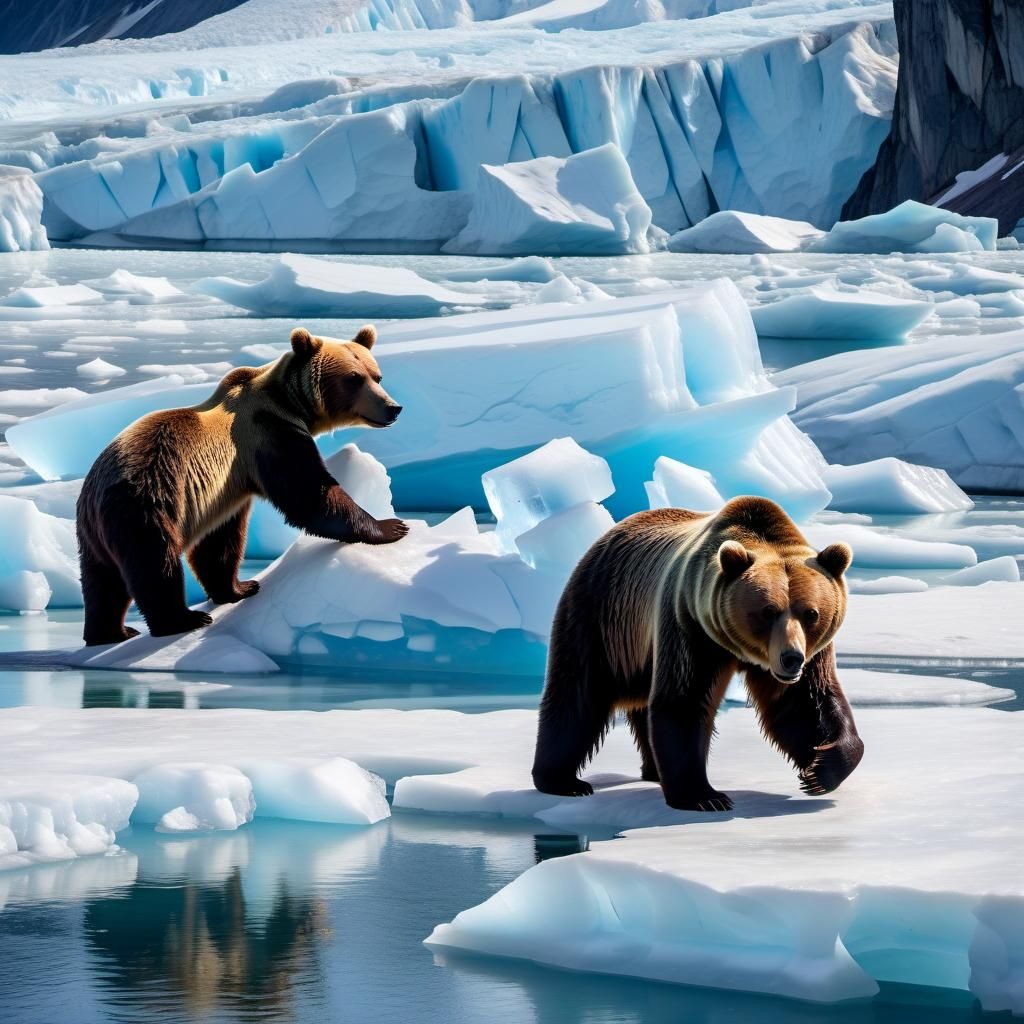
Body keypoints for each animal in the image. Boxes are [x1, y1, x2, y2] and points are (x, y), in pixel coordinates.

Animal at [76, 325, 408, 646]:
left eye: (376, 375)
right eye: (353, 378)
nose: (392, 407)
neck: (289, 404)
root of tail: (96, 490)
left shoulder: (224, 490)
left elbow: (219, 541)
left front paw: (240, 587)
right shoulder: (268, 435)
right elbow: (309, 494)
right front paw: (391, 526)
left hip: (93, 531)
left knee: (102, 581)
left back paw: (110, 632)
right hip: (148, 501)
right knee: (153, 562)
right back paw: (182, 619)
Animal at [531, 496, 862, 812]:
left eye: (811, 613)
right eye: (767, 612)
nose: (791, 658)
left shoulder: (812, 651)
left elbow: (806, 703)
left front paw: (820, 770)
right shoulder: (690, 625)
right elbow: (683, 701)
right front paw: (704, 797)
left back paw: (653, 770)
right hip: (601, 615)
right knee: (576, 695)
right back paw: (562, 780)